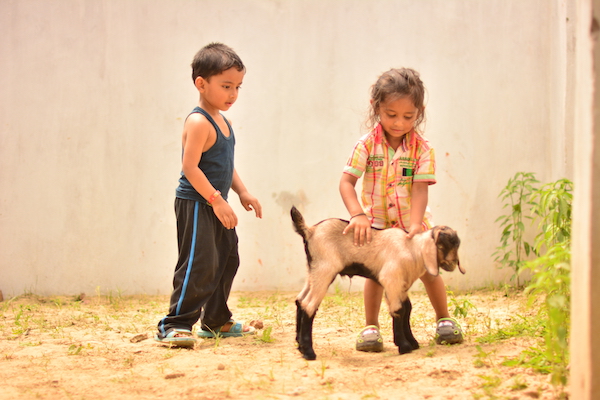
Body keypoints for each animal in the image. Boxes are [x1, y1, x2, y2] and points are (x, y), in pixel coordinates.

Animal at [290, 206, 465, 360]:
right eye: (442, 245)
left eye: (457, 245)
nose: (453, 264)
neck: (412, 249)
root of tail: (310, 231)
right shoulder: (391, 280)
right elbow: (399, 310)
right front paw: (404, 346)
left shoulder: (401, 285)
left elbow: (407, 309)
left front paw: (412, 342)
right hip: (325, 270)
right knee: (309, 305)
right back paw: (309, 352)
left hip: (313, 272)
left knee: (300, 300)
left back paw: (299, 346)